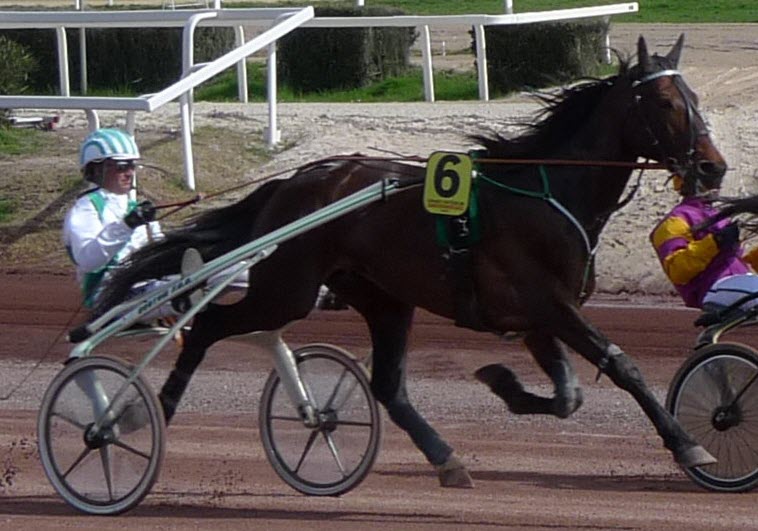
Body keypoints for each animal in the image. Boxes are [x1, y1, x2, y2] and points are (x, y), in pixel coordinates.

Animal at [98, 35, 728, 488]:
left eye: (698, 101)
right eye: (666, 103)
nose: (713, 168)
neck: (547, 192)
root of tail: (289, 183)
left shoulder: (535, 317)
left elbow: (568, 395)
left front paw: (503, 383)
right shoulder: (549, 304)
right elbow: (621, 366)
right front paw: (688, 444)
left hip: (384, 298)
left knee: (388, 385)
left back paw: (446, 458)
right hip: (288, 289)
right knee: (207, 324)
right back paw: (140, 416)